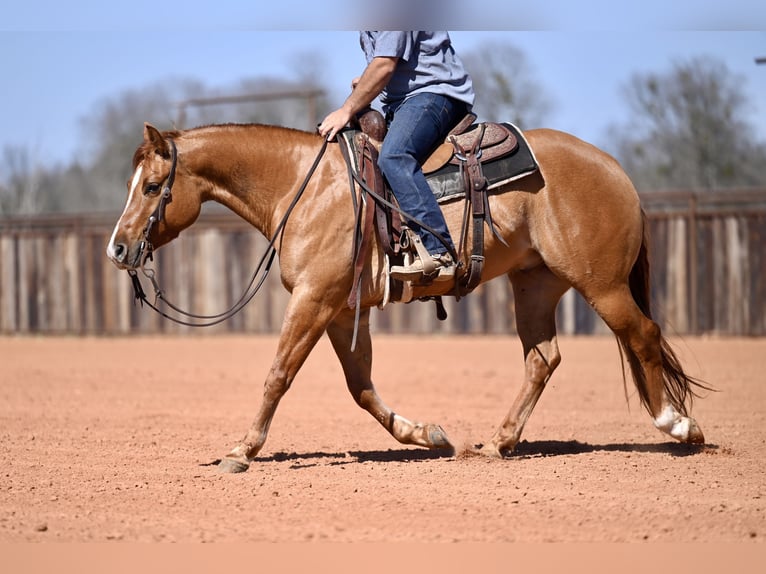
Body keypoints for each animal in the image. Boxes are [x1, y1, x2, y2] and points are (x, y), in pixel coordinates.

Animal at [106, 120, 708, 472]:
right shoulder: (342, 310)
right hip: (535, 284)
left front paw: (242, 449)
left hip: (601, 284)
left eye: (154, 187)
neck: (304, 186)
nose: (118, 247)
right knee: (544, 358)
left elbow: (279, 373)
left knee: (642, 334)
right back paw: (499, 442)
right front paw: (429, 436)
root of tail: (615, 169)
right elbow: (361, 389)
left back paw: (679, 426)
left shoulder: (314, 300)